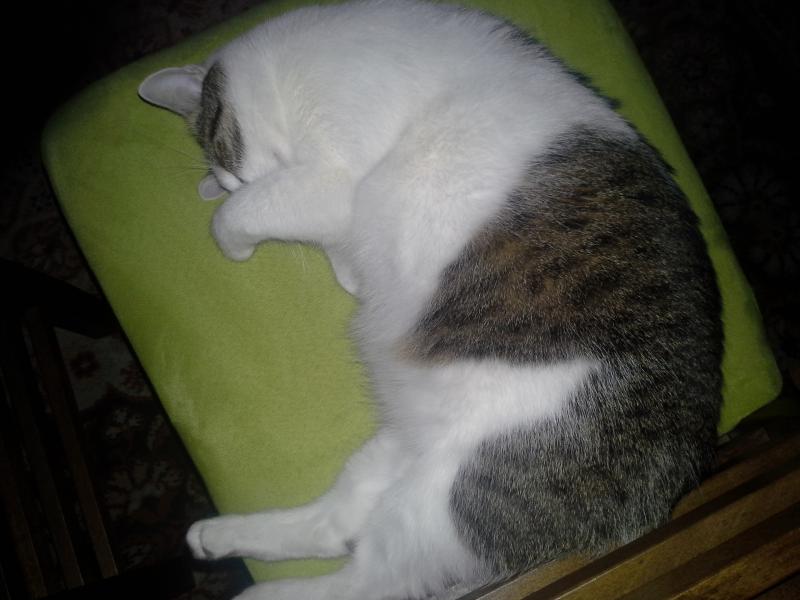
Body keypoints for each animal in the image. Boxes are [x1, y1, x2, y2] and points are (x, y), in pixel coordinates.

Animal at [138, 1, 722, 598]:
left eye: (227, 154)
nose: (234, 179)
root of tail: (668, 489)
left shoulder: (329, 176)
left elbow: (241, 215)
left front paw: (238, 237)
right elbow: (322, 234)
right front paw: (349, 271)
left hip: (452, 497)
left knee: (371, 580)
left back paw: (257, 591)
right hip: (396, 451)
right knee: (336, 525)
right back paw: (218, 536)